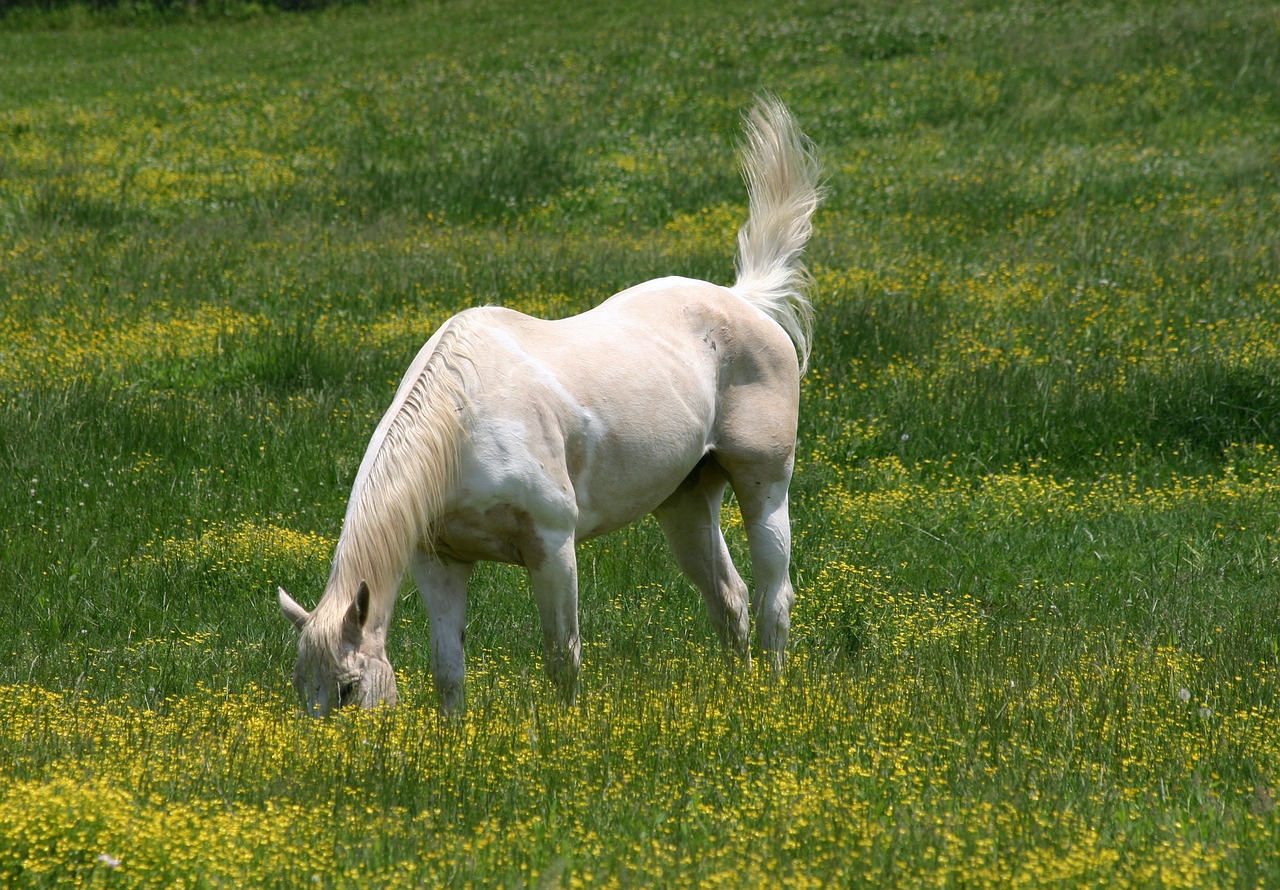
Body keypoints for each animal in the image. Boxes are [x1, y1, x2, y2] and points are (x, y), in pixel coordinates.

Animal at [277, 97, 819, 712]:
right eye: (301, 687)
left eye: (347, 688)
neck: (463, 425)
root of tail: (744, 300)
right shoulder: (440, 561)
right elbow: (448, 671)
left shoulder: (553, 546)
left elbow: (563, 656)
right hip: (685, 502)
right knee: (730, 600)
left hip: (764, 485)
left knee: (774, 598)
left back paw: (770, 695)